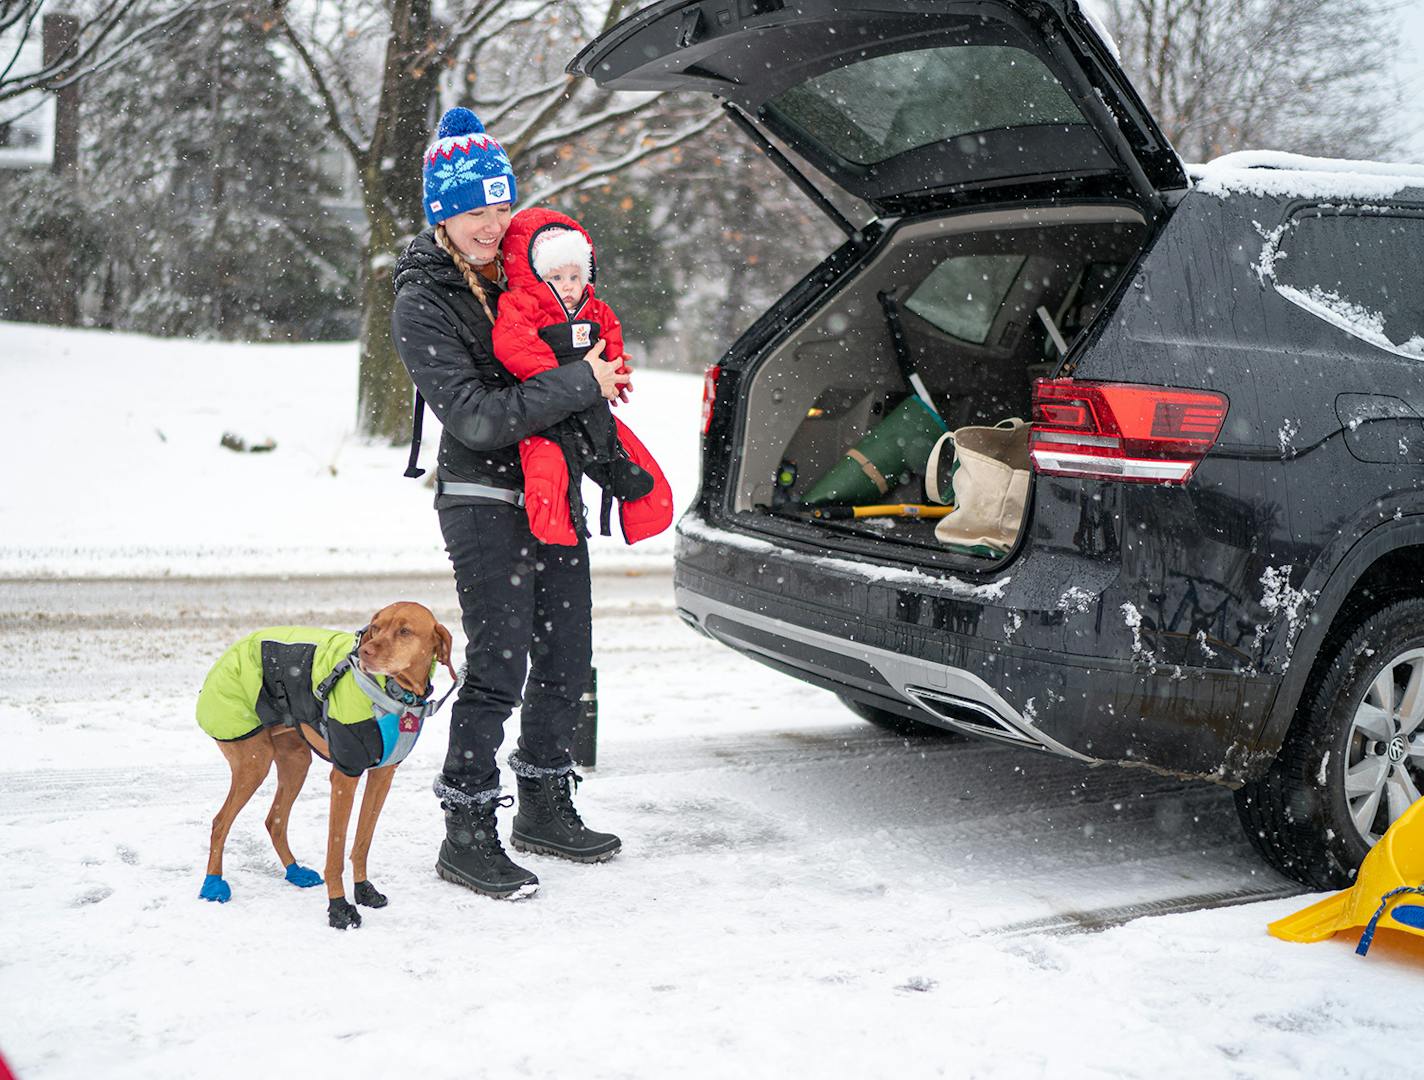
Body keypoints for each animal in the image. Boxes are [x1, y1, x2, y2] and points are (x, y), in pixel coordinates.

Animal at [197, 604, 452, 928]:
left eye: (405, 630)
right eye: (376, 628)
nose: (366, 652)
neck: (394, 694)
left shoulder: (382, 776)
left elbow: (362, 842)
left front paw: (363, 890)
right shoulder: (344, 776)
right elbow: (336, 850)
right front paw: (339, 907)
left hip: (296, 761)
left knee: (274, 820)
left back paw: (295, 871)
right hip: (254, 761)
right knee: (220, 822)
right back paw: (213, 883)